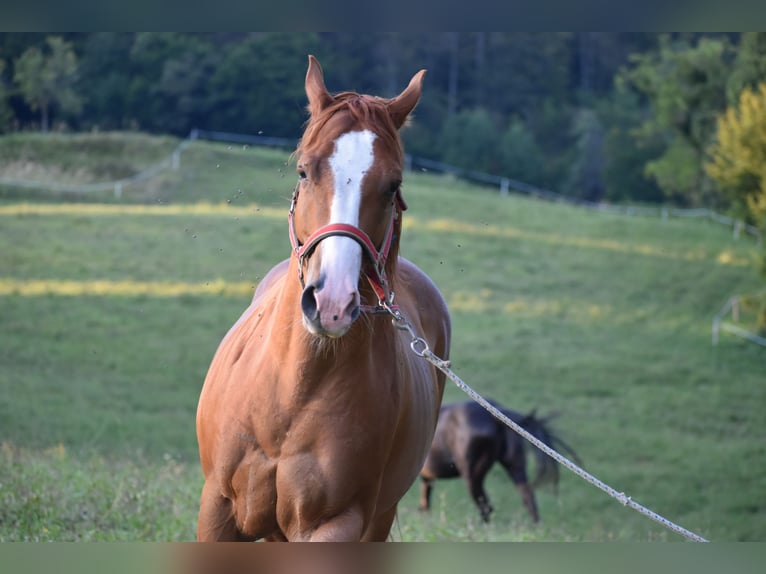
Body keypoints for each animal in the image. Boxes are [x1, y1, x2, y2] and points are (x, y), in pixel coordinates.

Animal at [195, 56, 452, 544]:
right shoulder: (217, 508)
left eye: (392, 185)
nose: (332, 302)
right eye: (304, 170)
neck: (289, 395)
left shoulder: (335, 525)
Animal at [420, 400, 584, 528]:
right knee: (528, 498)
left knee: (486, 508)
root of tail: (495, 417)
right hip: (515, 468)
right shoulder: (427, 478)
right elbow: (425, 503)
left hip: (473, 476)